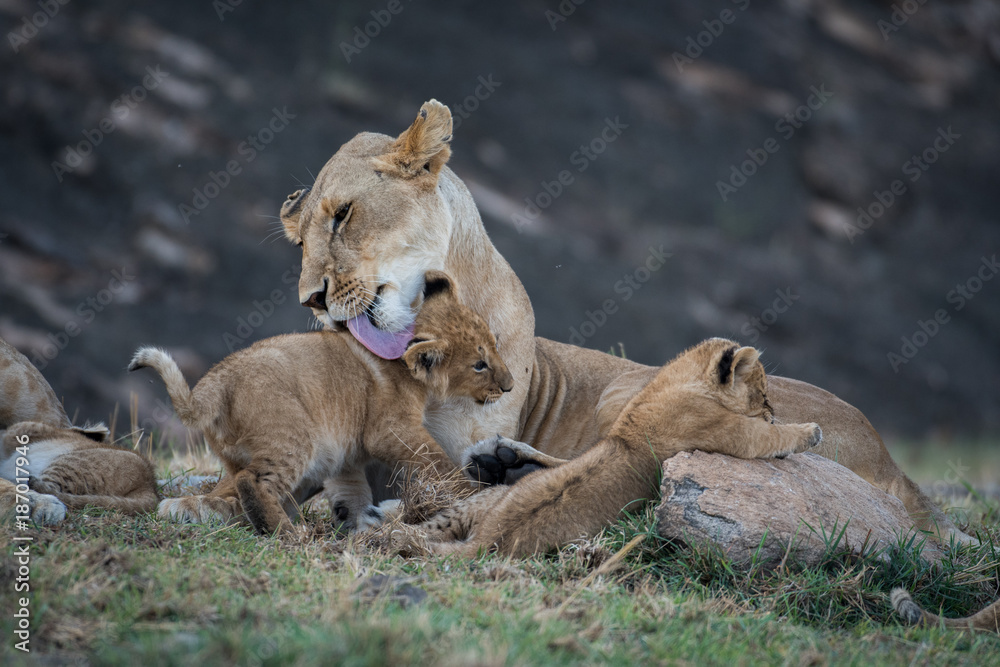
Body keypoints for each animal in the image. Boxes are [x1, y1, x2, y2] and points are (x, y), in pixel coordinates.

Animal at [131, 272, 513, 534]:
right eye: (479, 365)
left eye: (495, 345)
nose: (510, 386)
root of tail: (213, 384)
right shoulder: (387, 429)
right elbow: (437, 458)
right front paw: (464, 490)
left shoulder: (348, 447)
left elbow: (353, 486)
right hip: (293, 437)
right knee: (252, 483)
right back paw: (285, 532)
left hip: (241, 455)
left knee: (231, 488)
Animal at [388, 338, 822, 557]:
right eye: (763, 393)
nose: (772, 410)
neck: (677, 382)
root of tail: (487, 539)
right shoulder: (726, 433)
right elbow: (767, 438)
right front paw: (809, 431)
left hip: (476, 507)